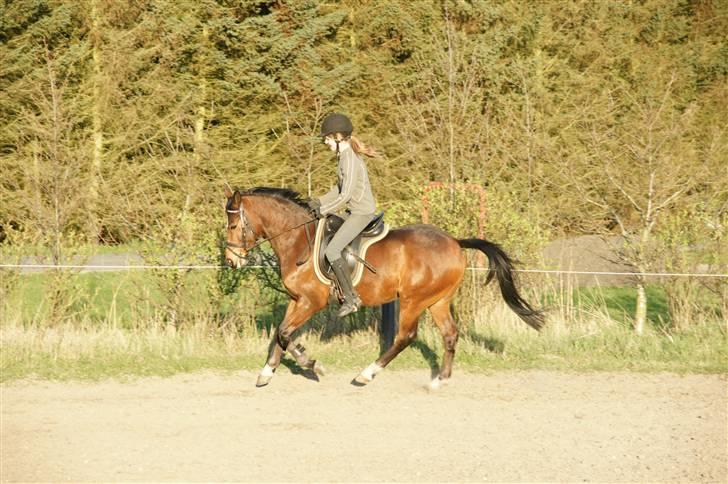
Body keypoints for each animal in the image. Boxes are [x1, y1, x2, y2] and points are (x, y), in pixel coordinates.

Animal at [224, 187, 544, 388]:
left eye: (232, 225)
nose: (230, 260)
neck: (298, 239)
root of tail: (454, 241)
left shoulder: (311, 301)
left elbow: (285, 334)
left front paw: (313, 365)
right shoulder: (296, 299)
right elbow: (281, 333)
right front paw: (267, 372)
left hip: (414, 300)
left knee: (406, 336)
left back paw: (366, 374)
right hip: (438, 301)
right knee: (450, 335)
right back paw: (439, 381)